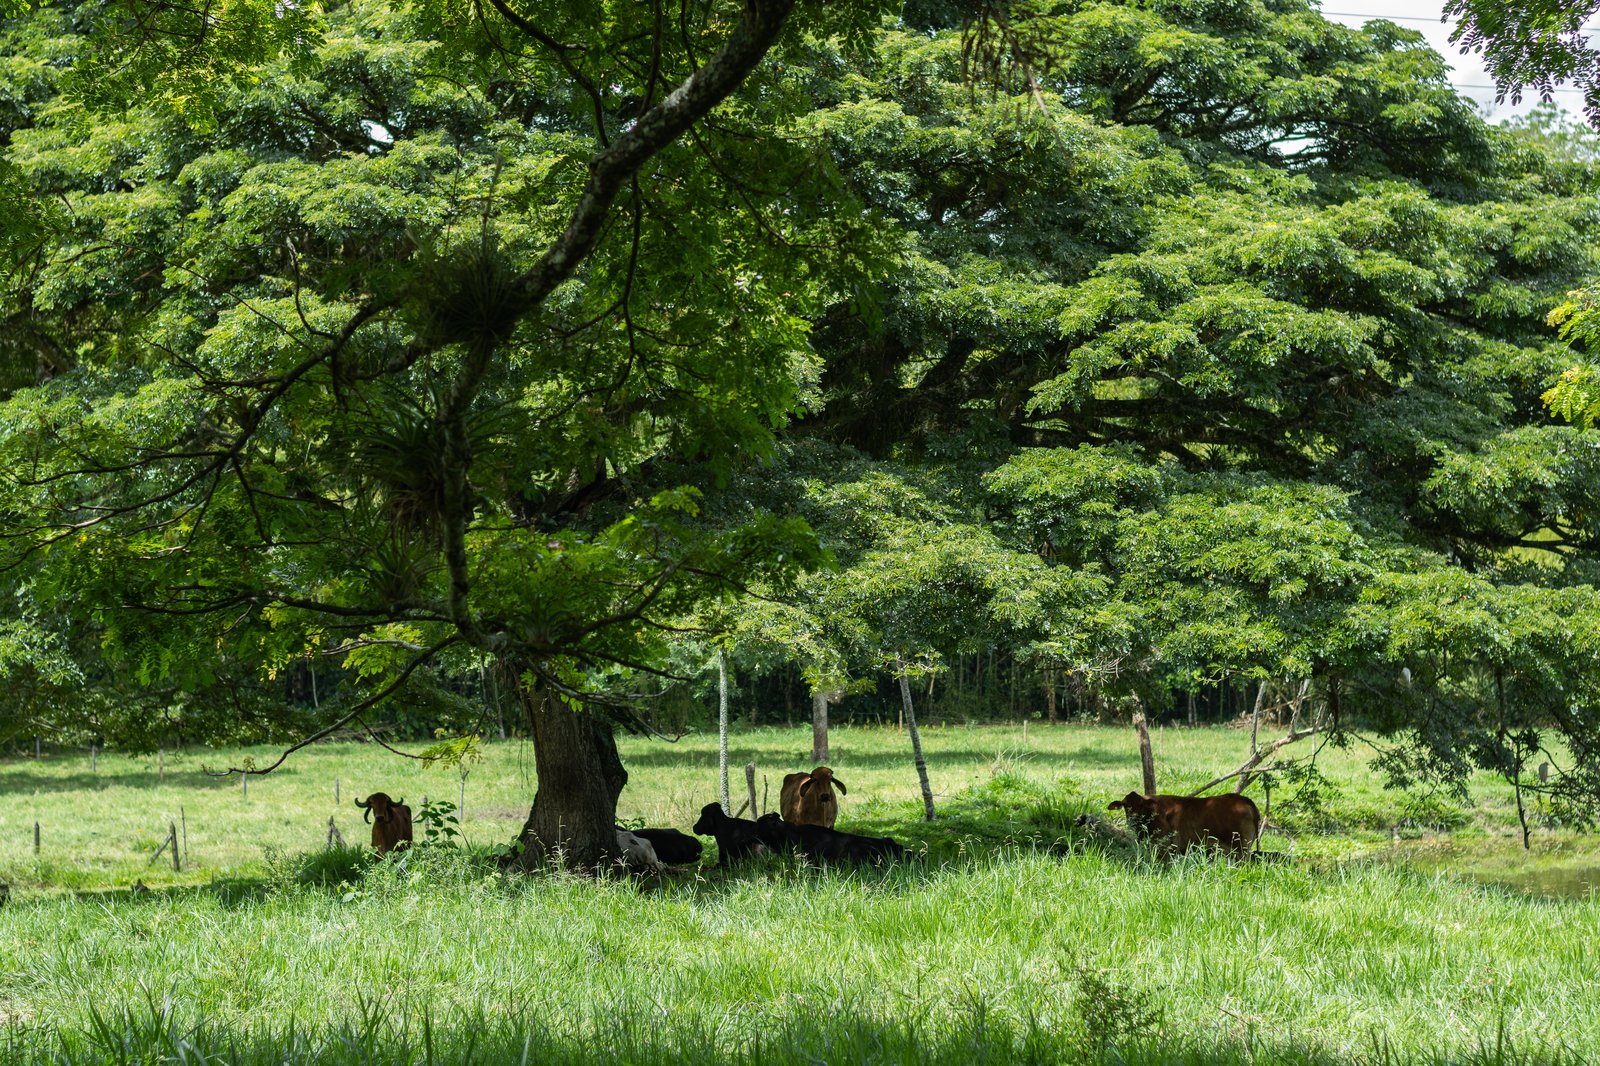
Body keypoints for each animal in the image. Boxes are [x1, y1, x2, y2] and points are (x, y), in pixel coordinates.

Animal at [1107, 791, 1260, 858]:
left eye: (1140, 805)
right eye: (1125, 806)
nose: (1132, 820)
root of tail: (1245, 800)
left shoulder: (1164, 847)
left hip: (1241, 849)